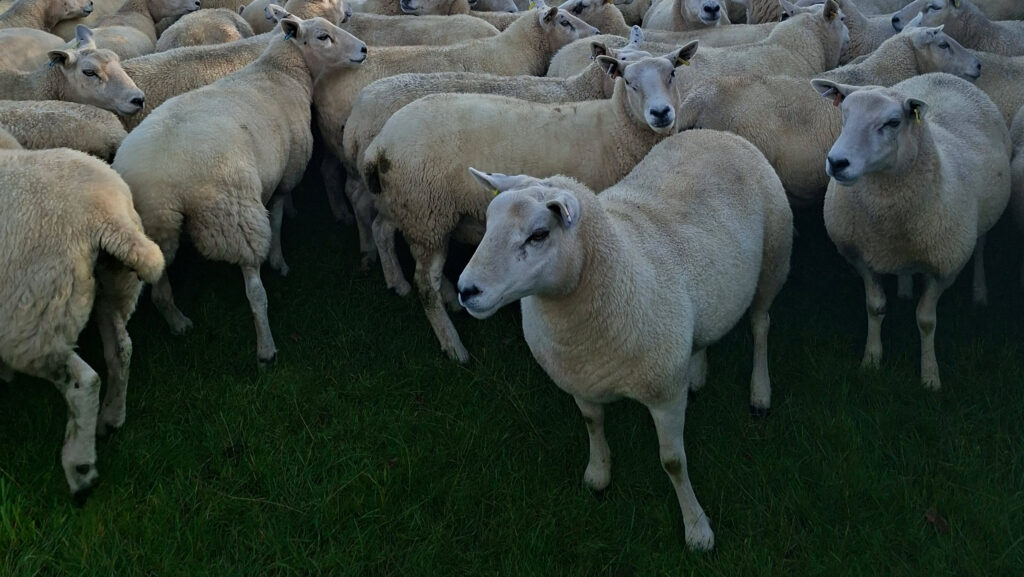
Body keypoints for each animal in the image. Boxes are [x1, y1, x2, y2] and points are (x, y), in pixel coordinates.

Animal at [0, 146, 164, 502]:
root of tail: (105, 217)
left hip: (33, 315)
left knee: (84, 382)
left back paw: (80, 468)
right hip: (112, 288)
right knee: (121, 350)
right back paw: (111, 419)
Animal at [111, 16, 367, 366]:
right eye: (323, 36)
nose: (363, 49)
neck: (281, 72)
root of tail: (167, 183)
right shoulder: (285, 174)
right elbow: (277, 218)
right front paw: (278, 260)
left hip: (154, 225)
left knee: (160, 290)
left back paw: (179, 323)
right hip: (234, 215)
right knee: (254, 289)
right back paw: (266, 348)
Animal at [361, 48, 695, 362]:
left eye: (672, 74)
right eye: (628, 81)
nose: (661, 113)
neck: (613, 128)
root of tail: (380, 143)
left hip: (408, 206)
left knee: (384, 230)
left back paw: (407, 285)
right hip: (426, 209)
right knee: (424, 284)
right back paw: (453, 345)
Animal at [455, 128, 793, 550]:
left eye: (539, 234)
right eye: (487, 224)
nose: (465, 290)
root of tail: (718, 133)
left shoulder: (663, 392)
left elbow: (673, 463)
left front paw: (697, 528)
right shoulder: (579, 379)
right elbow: (592, 423)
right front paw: (598, 474)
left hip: (775, 258)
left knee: (761, 325)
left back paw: (760, 393)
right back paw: (697, 371)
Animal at [810, 72, 1010, 389]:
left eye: (893, 122)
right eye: (844, 114)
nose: (837, 162)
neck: (887, 216)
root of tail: (942, 75)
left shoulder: (944, 267)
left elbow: (926, 321)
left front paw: (930, 376)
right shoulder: (861, 256)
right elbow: (875, 307)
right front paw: (871, 361)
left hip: (982, 219)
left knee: (980, 247)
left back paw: (980, 293)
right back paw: (904, 288)